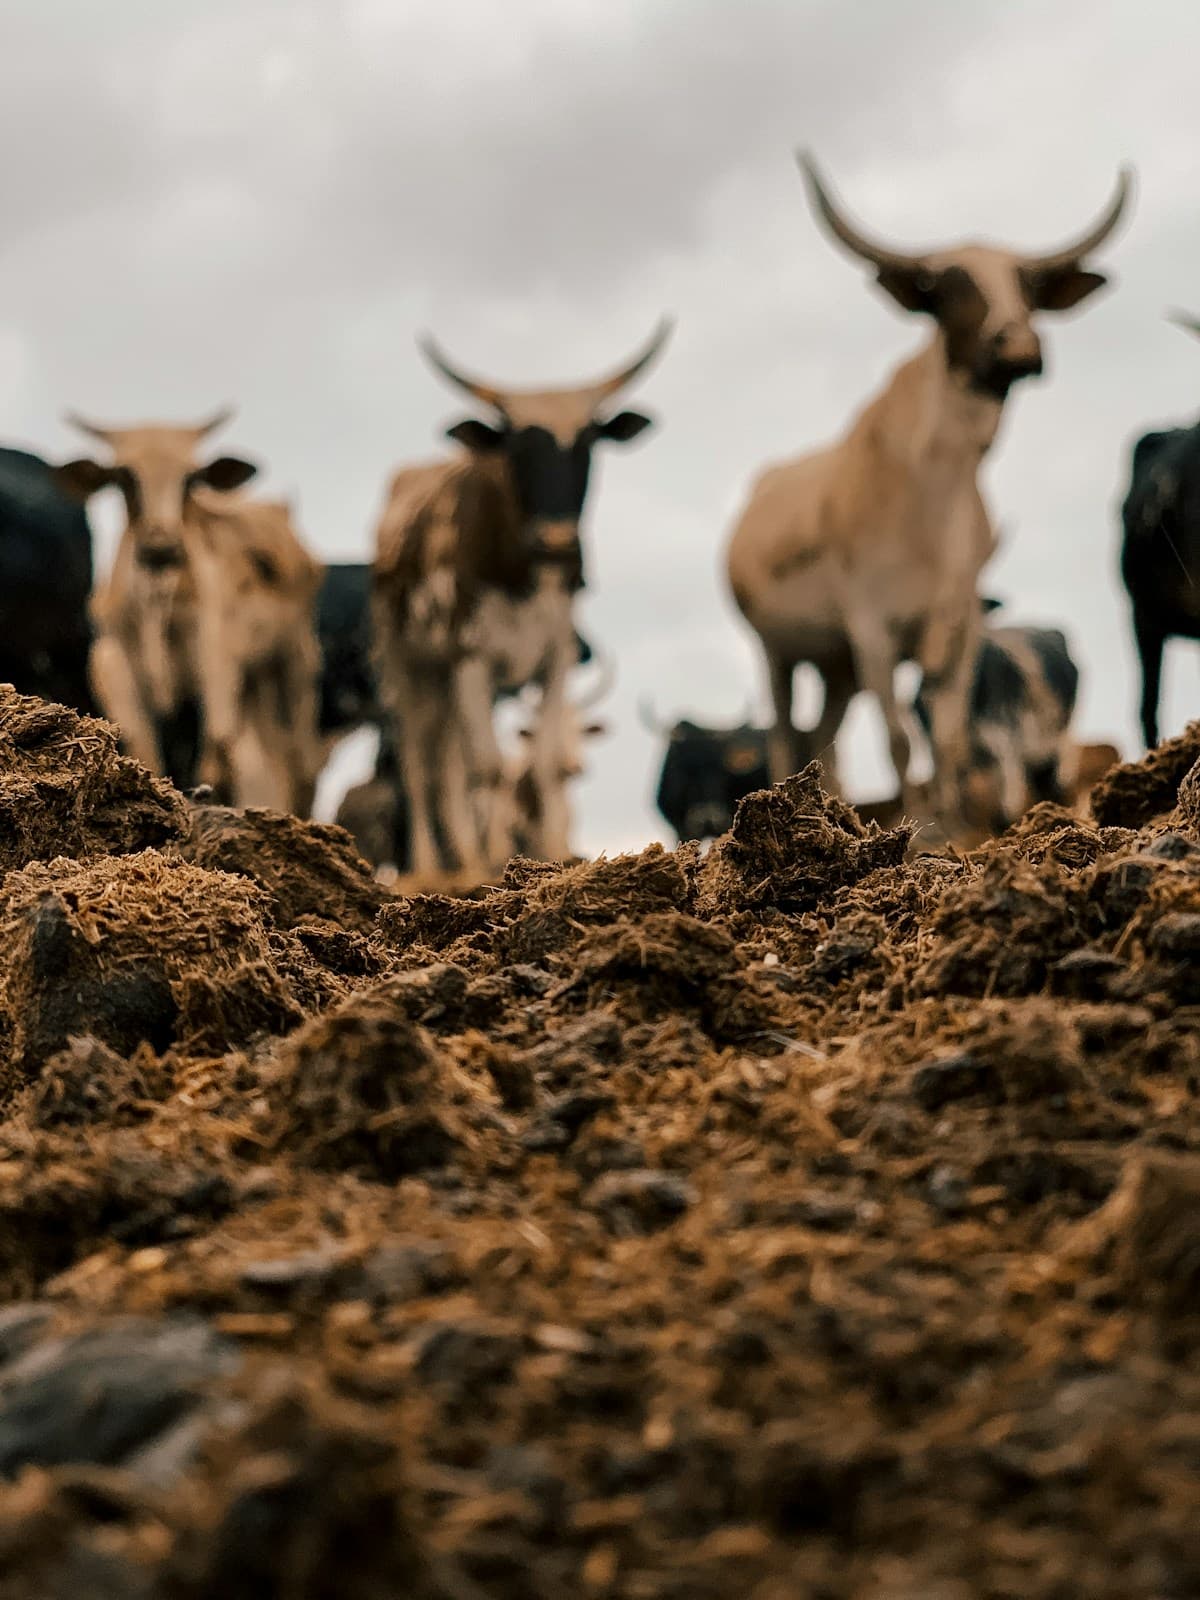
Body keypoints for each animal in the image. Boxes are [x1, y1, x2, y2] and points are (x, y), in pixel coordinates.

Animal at [57, 410, 325, 816]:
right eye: (124, 476)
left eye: (190, 479)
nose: (161, 547)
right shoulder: (114, 661)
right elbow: (146, 750)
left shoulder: (215, 664)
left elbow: (215, 755)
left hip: (293, 668)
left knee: (297, 765)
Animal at [373, 321, 670, 878]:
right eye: (515, 444)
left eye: (589, 439)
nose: (556, 541)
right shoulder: (471, 655)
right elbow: (488, 769)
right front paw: (493, 864)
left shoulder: (554, 656)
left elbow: (544, 762)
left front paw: (552, 857)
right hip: (412, 668)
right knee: (422, 763)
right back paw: (437, 866)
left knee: (449, 762)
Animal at [725, 153, 1130, 837]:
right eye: (946, 289)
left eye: (1027, 285)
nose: (1018, 346)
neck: (933, 493)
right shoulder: (872, 629)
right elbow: (898, 741)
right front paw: (916, 831)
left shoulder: (959, 625)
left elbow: (947, 738)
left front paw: (954, 827)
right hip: (778, 651)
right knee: (786, 734)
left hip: (836, 667)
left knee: (823, 737)